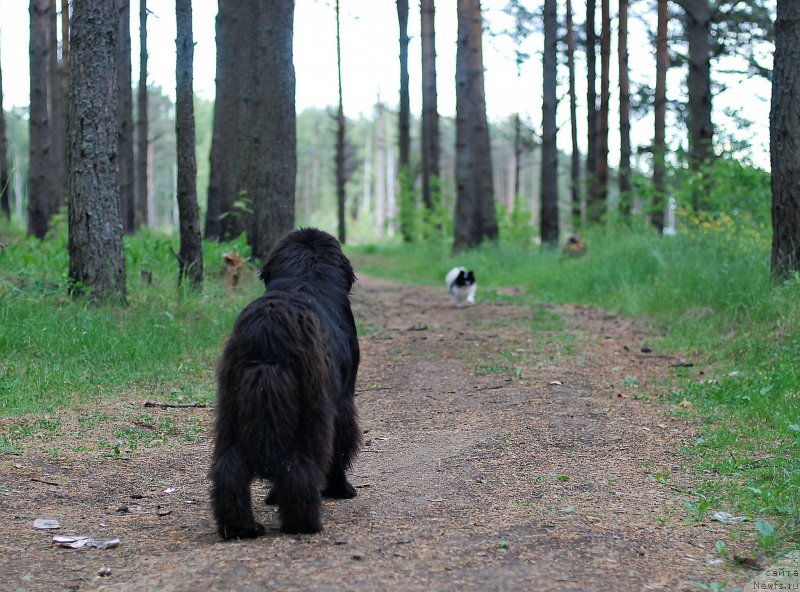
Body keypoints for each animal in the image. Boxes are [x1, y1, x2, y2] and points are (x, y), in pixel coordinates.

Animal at [212, 229, 362, 540]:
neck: (306, 276)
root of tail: (269, 327)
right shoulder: (342, 403)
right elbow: (341, 447)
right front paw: (341, 489)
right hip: (311, 413)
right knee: (300, 468)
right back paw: (305, 522)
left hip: (232, 410)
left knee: (229, 467)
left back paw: (241, 527)